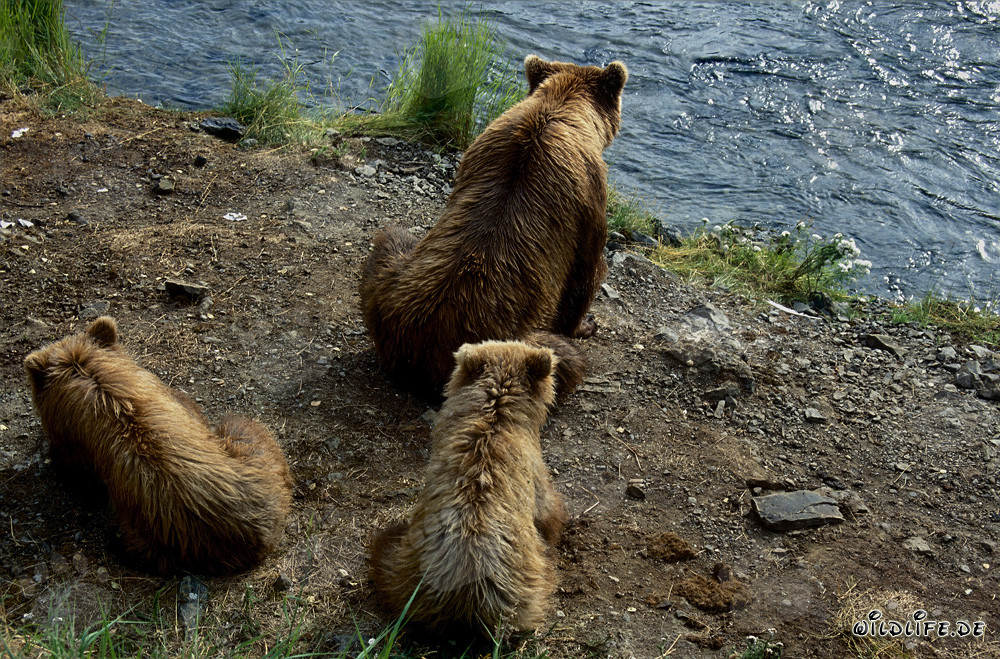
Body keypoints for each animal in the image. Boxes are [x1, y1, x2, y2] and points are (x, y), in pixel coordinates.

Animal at [359, 54, 628, 398]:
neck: (561, 108)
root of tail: (423, 351)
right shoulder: (589, 197)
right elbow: (586, 273)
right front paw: (586, 323)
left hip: (390, 286)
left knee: (391, 239)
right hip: (519, 339)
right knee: (564, 359)